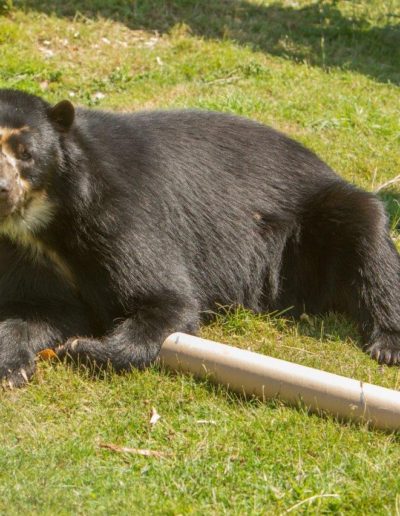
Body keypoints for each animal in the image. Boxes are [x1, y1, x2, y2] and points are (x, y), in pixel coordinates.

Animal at [0, 89, 400, 388]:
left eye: (26, 154)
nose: (2, 189)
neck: (47, 224)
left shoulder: (117, 217)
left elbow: (165, 299)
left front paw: (82, 348)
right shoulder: (21, 254)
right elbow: (40, 309)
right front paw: (14, 366)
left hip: (315, 221)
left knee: (368, 237)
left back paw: (387, 344)